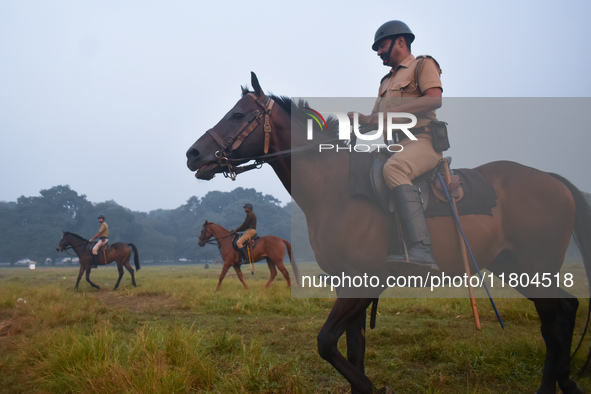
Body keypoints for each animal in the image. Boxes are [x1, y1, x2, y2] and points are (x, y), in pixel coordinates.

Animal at [187, 73, 591, 394]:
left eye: (238, 115)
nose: (193, 154)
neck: (335, 189)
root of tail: (551, 179)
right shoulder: (346, 284)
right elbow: (353, 347)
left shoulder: (363, 282)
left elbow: (326, 343)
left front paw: (374, 387)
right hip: (515, 268)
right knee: (562, 312)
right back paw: (563, 380)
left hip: (534, 269)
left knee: (554, 322)